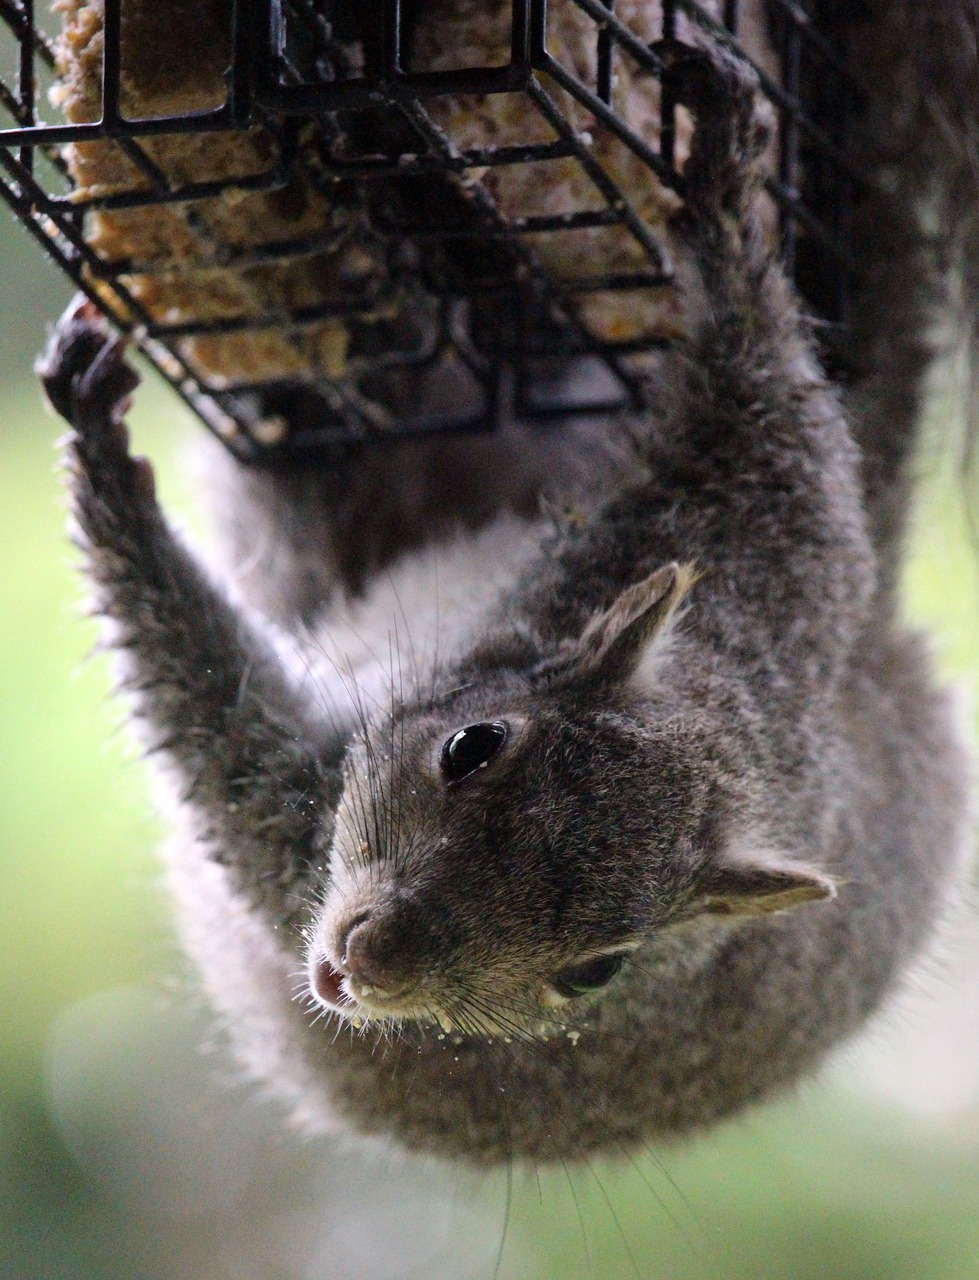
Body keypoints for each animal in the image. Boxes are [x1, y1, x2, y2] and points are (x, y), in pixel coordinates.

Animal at [37, 21, 974, 1166]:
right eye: (471, 746)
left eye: (596, 971)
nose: (372, 964)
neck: (729, 714)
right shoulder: (774, 538)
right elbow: (768, 381)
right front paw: (721, 178)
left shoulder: (292, 824)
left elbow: (208, 718)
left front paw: (105, 468)